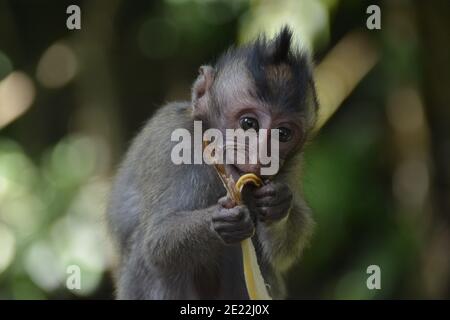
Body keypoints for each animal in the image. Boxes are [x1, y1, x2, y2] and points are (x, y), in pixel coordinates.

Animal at [108, 26, 320, 298]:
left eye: (283, 134)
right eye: (248, 124)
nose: (263, 154)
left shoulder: (293, 163)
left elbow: (282, 254)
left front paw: (278, 204)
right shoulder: (172, 141)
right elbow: (155, 243)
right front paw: (220, 222)